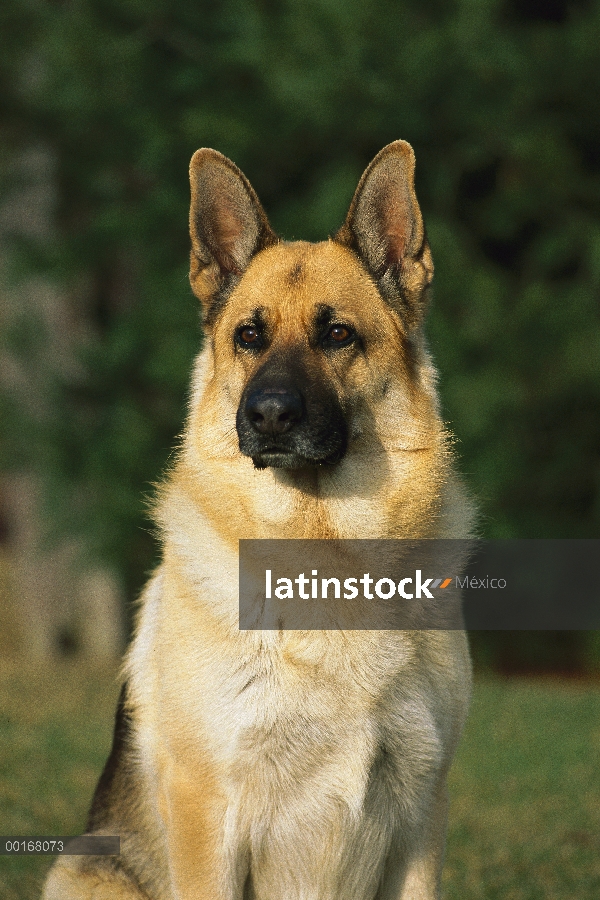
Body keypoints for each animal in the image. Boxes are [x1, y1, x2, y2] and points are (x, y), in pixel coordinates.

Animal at [41, 141, 474, 900]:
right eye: (249, 335)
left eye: (337, 334)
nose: (269, 415)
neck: (321, 551)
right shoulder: (208, 812)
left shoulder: (423, 814)